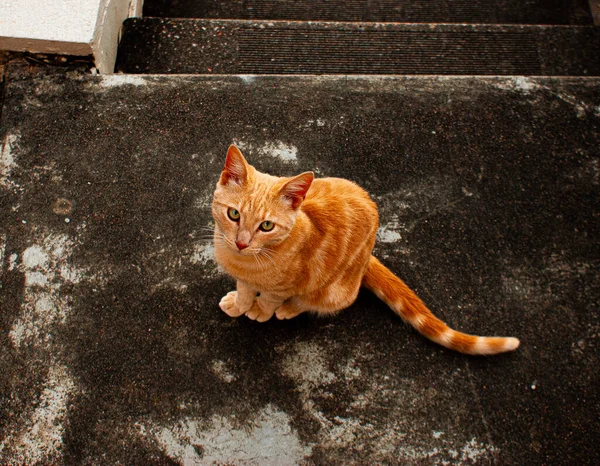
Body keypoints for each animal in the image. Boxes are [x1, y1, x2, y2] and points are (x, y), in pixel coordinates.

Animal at [213, 146, 516, 356]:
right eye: (233, 214)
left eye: (266, 226)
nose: (241, 242)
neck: (246, 262)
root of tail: (366, 258)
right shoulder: (244, 277)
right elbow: (244, 290)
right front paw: (240, 303)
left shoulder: (284, 286)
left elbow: (269, 299)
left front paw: (260, 310)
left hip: (336, 289)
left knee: (320, 300)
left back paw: (290, 308)